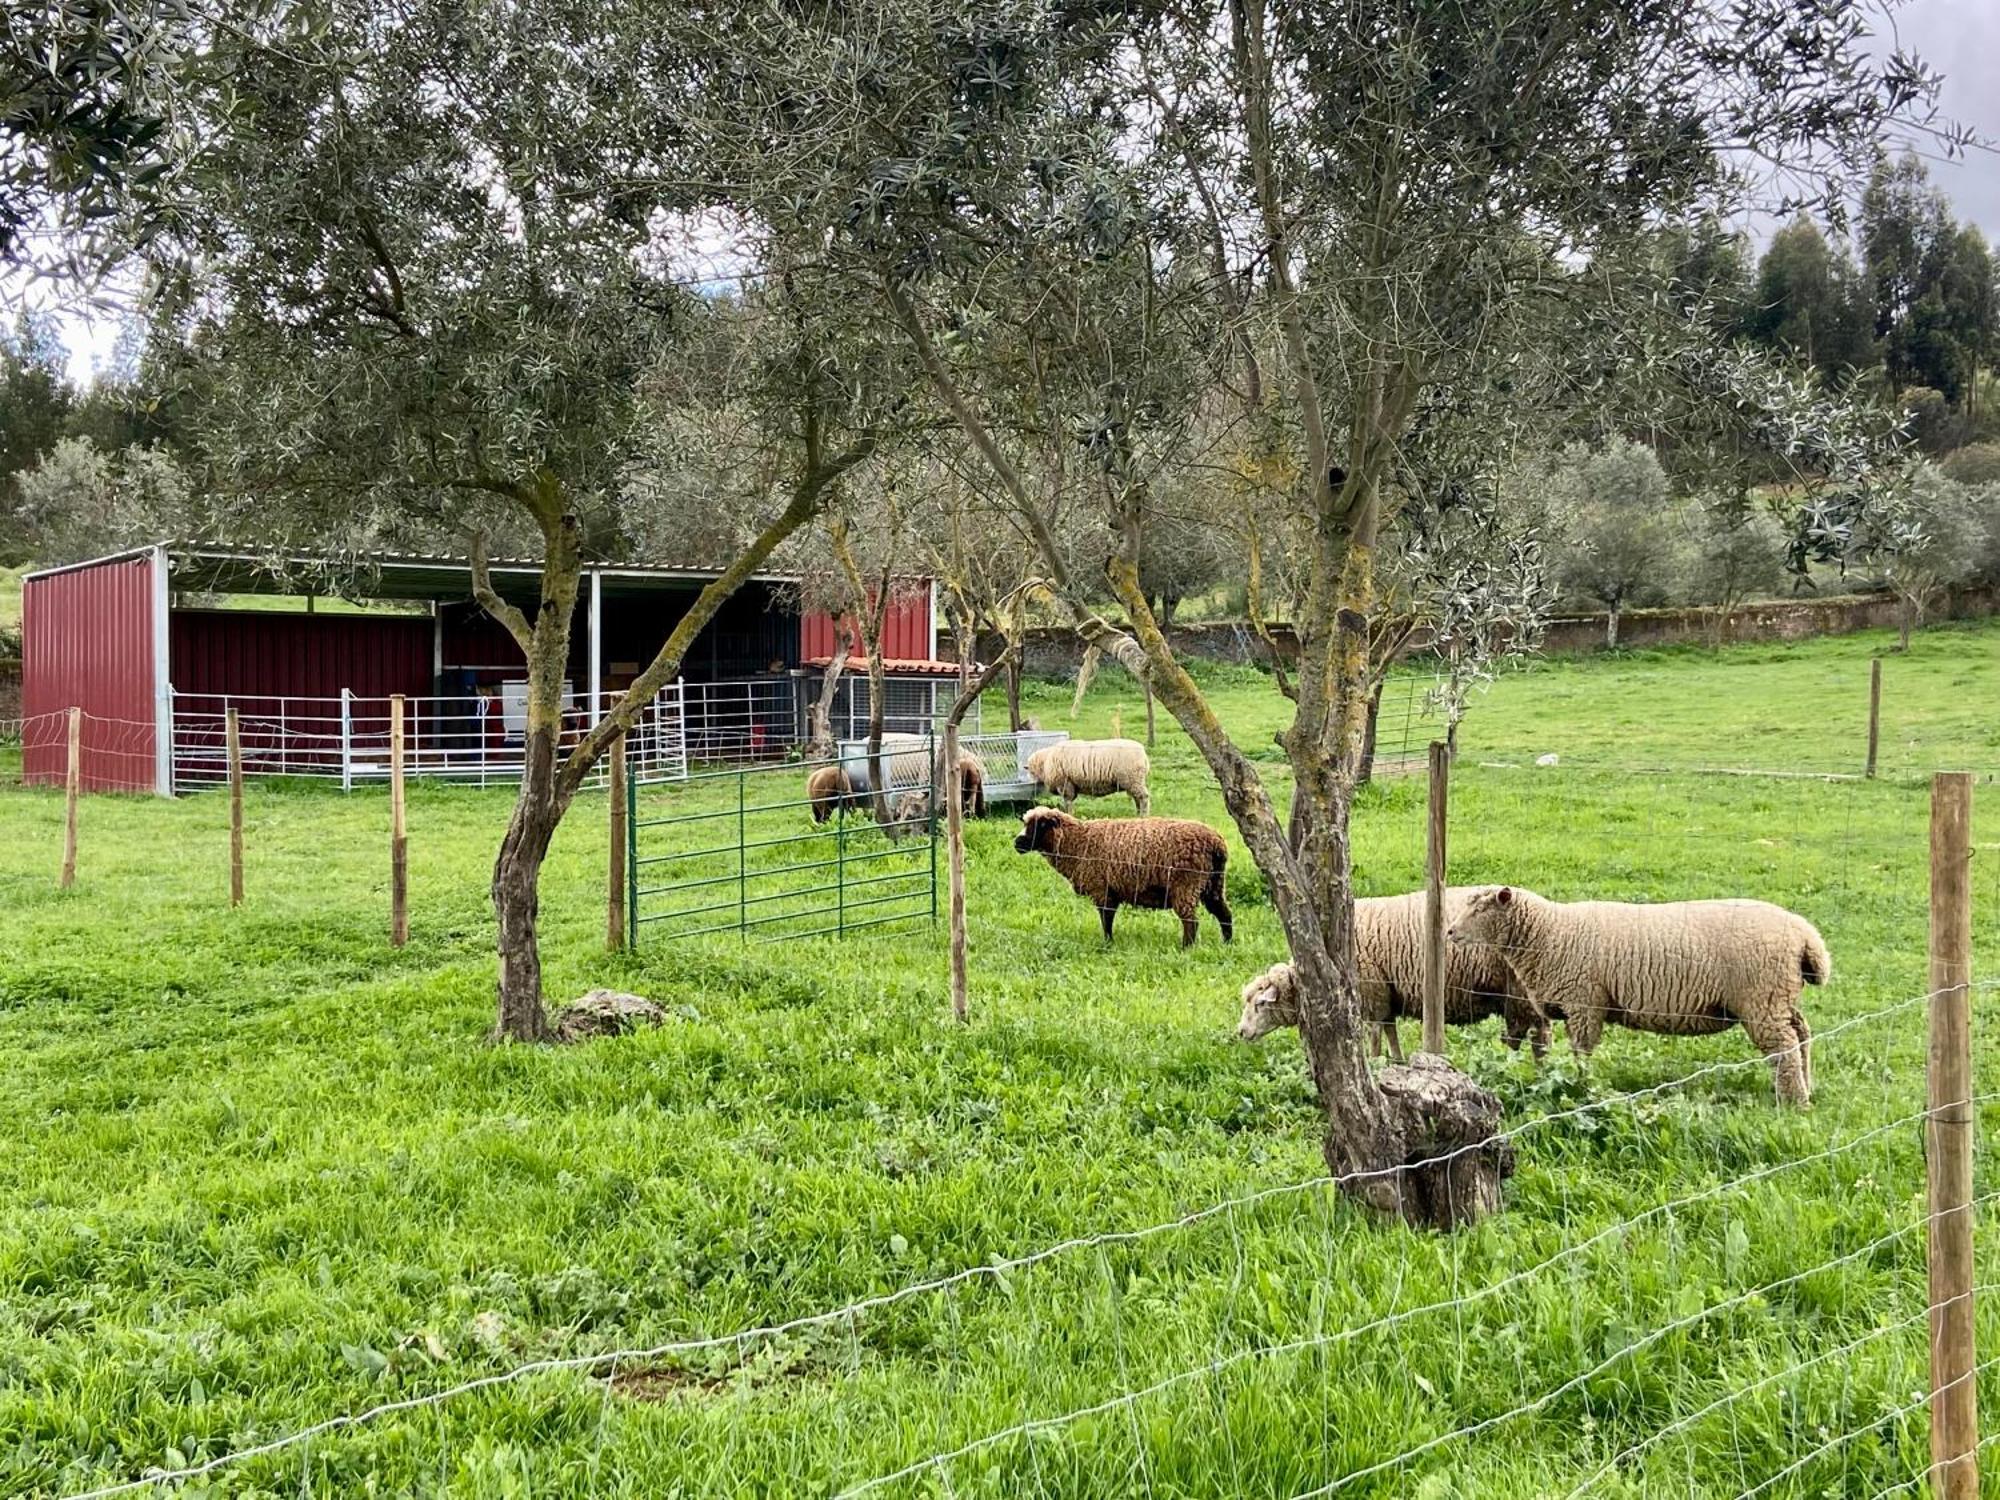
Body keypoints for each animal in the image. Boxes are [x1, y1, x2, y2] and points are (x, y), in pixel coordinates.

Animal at [1016, 812, 1232, 952]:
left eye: (1040, 825)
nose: (1016, 843)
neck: (1079, 842)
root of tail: (1216, 843)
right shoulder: (1110, 891)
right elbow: (1108, 918)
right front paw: (1109, 942)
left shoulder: (1101, 889)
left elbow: (1106, 919)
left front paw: (1107, 943)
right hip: (1213, 883)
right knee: (1224, 914)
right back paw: (1227, 944)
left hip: (1186, 884)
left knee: (1191, 921)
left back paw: (1186, 948)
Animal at [1024, 736, 1152, 816]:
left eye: (1031, 772)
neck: (1045, 761)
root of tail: (1143, 753)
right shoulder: (1071, 785)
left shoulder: (1065, 784)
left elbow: (1067, 802)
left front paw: (1069, 814)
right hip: (1133, 781)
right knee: (1137, 798)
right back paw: (1137, 814)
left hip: (1133, 778)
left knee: (1143, 797)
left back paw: (1143, 815)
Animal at [1232, 888, 1544, 1064]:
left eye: (1260, 1004)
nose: (1241, 1032)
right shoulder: (1387, 994)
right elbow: (1390, 1030)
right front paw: (1397, 1060)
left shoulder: (1371, 992)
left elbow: (1374, 1034)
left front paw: (1374, 1061)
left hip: (1520, 993)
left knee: (1532, 1035)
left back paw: (1525, 1067)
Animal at [1440, 888, 1832, 1112]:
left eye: (1481, 910)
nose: (1450, 932)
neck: (1550, 932)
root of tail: (1806, 935)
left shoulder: (1584, 1003)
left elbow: (1582, 1052)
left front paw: (1584, 1088)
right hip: (1780, 997)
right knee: (1802, 1034)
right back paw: (1807, 1087)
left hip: (1761, 999)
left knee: (1783, 1047)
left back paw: (1795, 1102)